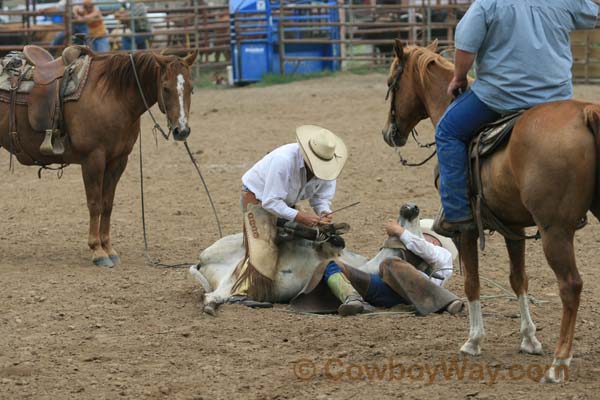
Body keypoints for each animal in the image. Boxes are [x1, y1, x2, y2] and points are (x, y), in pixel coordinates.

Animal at [0, 49, 199, 268]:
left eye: (191, 88)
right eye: (165, 88)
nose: (182, 130)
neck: (113, 96)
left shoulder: (118, 161)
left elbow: (107, 204)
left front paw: (108, 248)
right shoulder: (93, 159)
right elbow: (95, 204)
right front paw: (97, 251)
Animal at [382, 39, 596, 382]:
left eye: (392, 83)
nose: (389, 133)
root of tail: (585, 112)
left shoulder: (465, 229)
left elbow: (472, 282)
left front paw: (473, 341)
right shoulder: (515, 227)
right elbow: (518, 279)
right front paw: (529, 339)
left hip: (555, 231)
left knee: (570, 286)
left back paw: (559, 363)